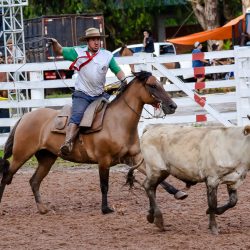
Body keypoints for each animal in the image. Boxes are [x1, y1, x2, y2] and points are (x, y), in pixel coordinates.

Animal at [0, 71, 177, 214]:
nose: (172, 106)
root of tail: (25, 117)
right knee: (6, 176)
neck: (118, 122)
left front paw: (177, 192)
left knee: (34, 181)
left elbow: (154, 175)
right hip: (21, 155)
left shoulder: (132, 158)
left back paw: (43, 208)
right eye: (152, 85)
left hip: (47, 159)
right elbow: (104, 185)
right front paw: (105, 208)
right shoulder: (104, 160)